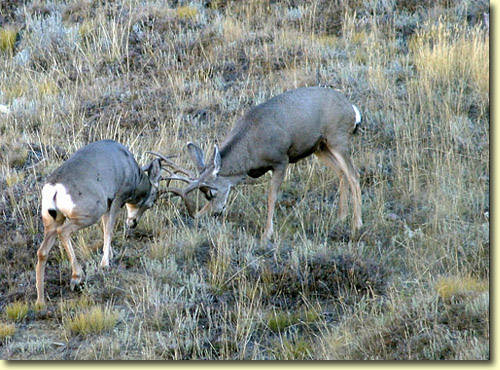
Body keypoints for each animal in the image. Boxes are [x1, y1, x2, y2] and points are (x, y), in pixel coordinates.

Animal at [36, 139, 164, 306]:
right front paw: (105, 263)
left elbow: (105, 228)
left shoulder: (109, 204)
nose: (133, 223)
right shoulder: (118, 196)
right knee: (63, 232)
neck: (132, 171)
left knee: (42, 251)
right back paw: (77, 277)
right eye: (152, 202)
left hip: (53, 219)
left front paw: (110, 254)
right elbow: (109, 229)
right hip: (91, 212)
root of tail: (55, 188)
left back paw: (40, 301)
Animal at [154, 87, 362, 243]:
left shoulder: (281, 160)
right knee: (342, 172)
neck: (251, 149)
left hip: (338, 137)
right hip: (320, 147)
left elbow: (271, 196)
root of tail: (352, 109)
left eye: (211, 192)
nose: (214, 213)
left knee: (354, 175)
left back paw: (357, 224)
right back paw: (341, 217)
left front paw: (266, 234)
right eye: (204, 194)